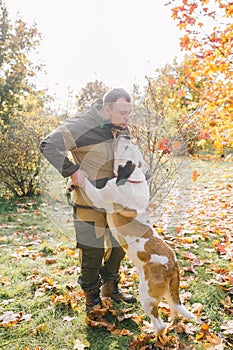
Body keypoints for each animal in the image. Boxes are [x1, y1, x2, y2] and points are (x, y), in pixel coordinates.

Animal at [80, 135, 197, 334]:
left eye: (126, 148)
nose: (124, 135)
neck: (133, 179)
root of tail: (173, 265)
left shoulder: (100, 196)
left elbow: (88, 186)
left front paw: (76, 177)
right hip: (168, 292)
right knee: (173, 308)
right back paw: (172, 323)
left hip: (146, 295)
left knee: (158, 322)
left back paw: (151, 333)